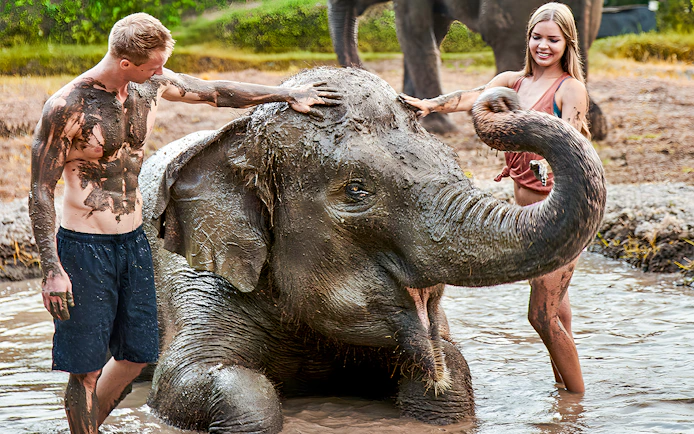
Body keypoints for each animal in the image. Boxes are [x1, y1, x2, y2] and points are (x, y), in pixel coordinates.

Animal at [138, 67, 606, 433]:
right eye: (356, 190)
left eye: (453, 163)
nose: (501, 98)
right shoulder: (193, 279)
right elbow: (185, 381)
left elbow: (451, 371)